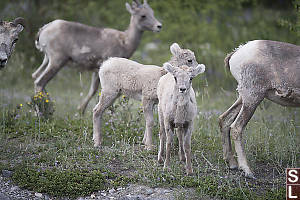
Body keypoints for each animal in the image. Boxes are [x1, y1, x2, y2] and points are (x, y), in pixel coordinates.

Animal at [32, 0, 162, 114]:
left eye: (152, 12)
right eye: (143, 15)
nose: (159, 26)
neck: (125, 42)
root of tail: (44, 29)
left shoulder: (96, 70)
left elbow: (92, 91)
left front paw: (80, 111)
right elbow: (94, 91)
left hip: (47, 60)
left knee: (36, 77)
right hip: (57, 61)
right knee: (40, 82)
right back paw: (42, 112)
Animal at [218, 39, 300, 178]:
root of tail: (237, 52)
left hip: (243, 98)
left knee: (225, 120)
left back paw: (232, 164)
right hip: (253, 98)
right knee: (236, 127)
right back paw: (247, 171)